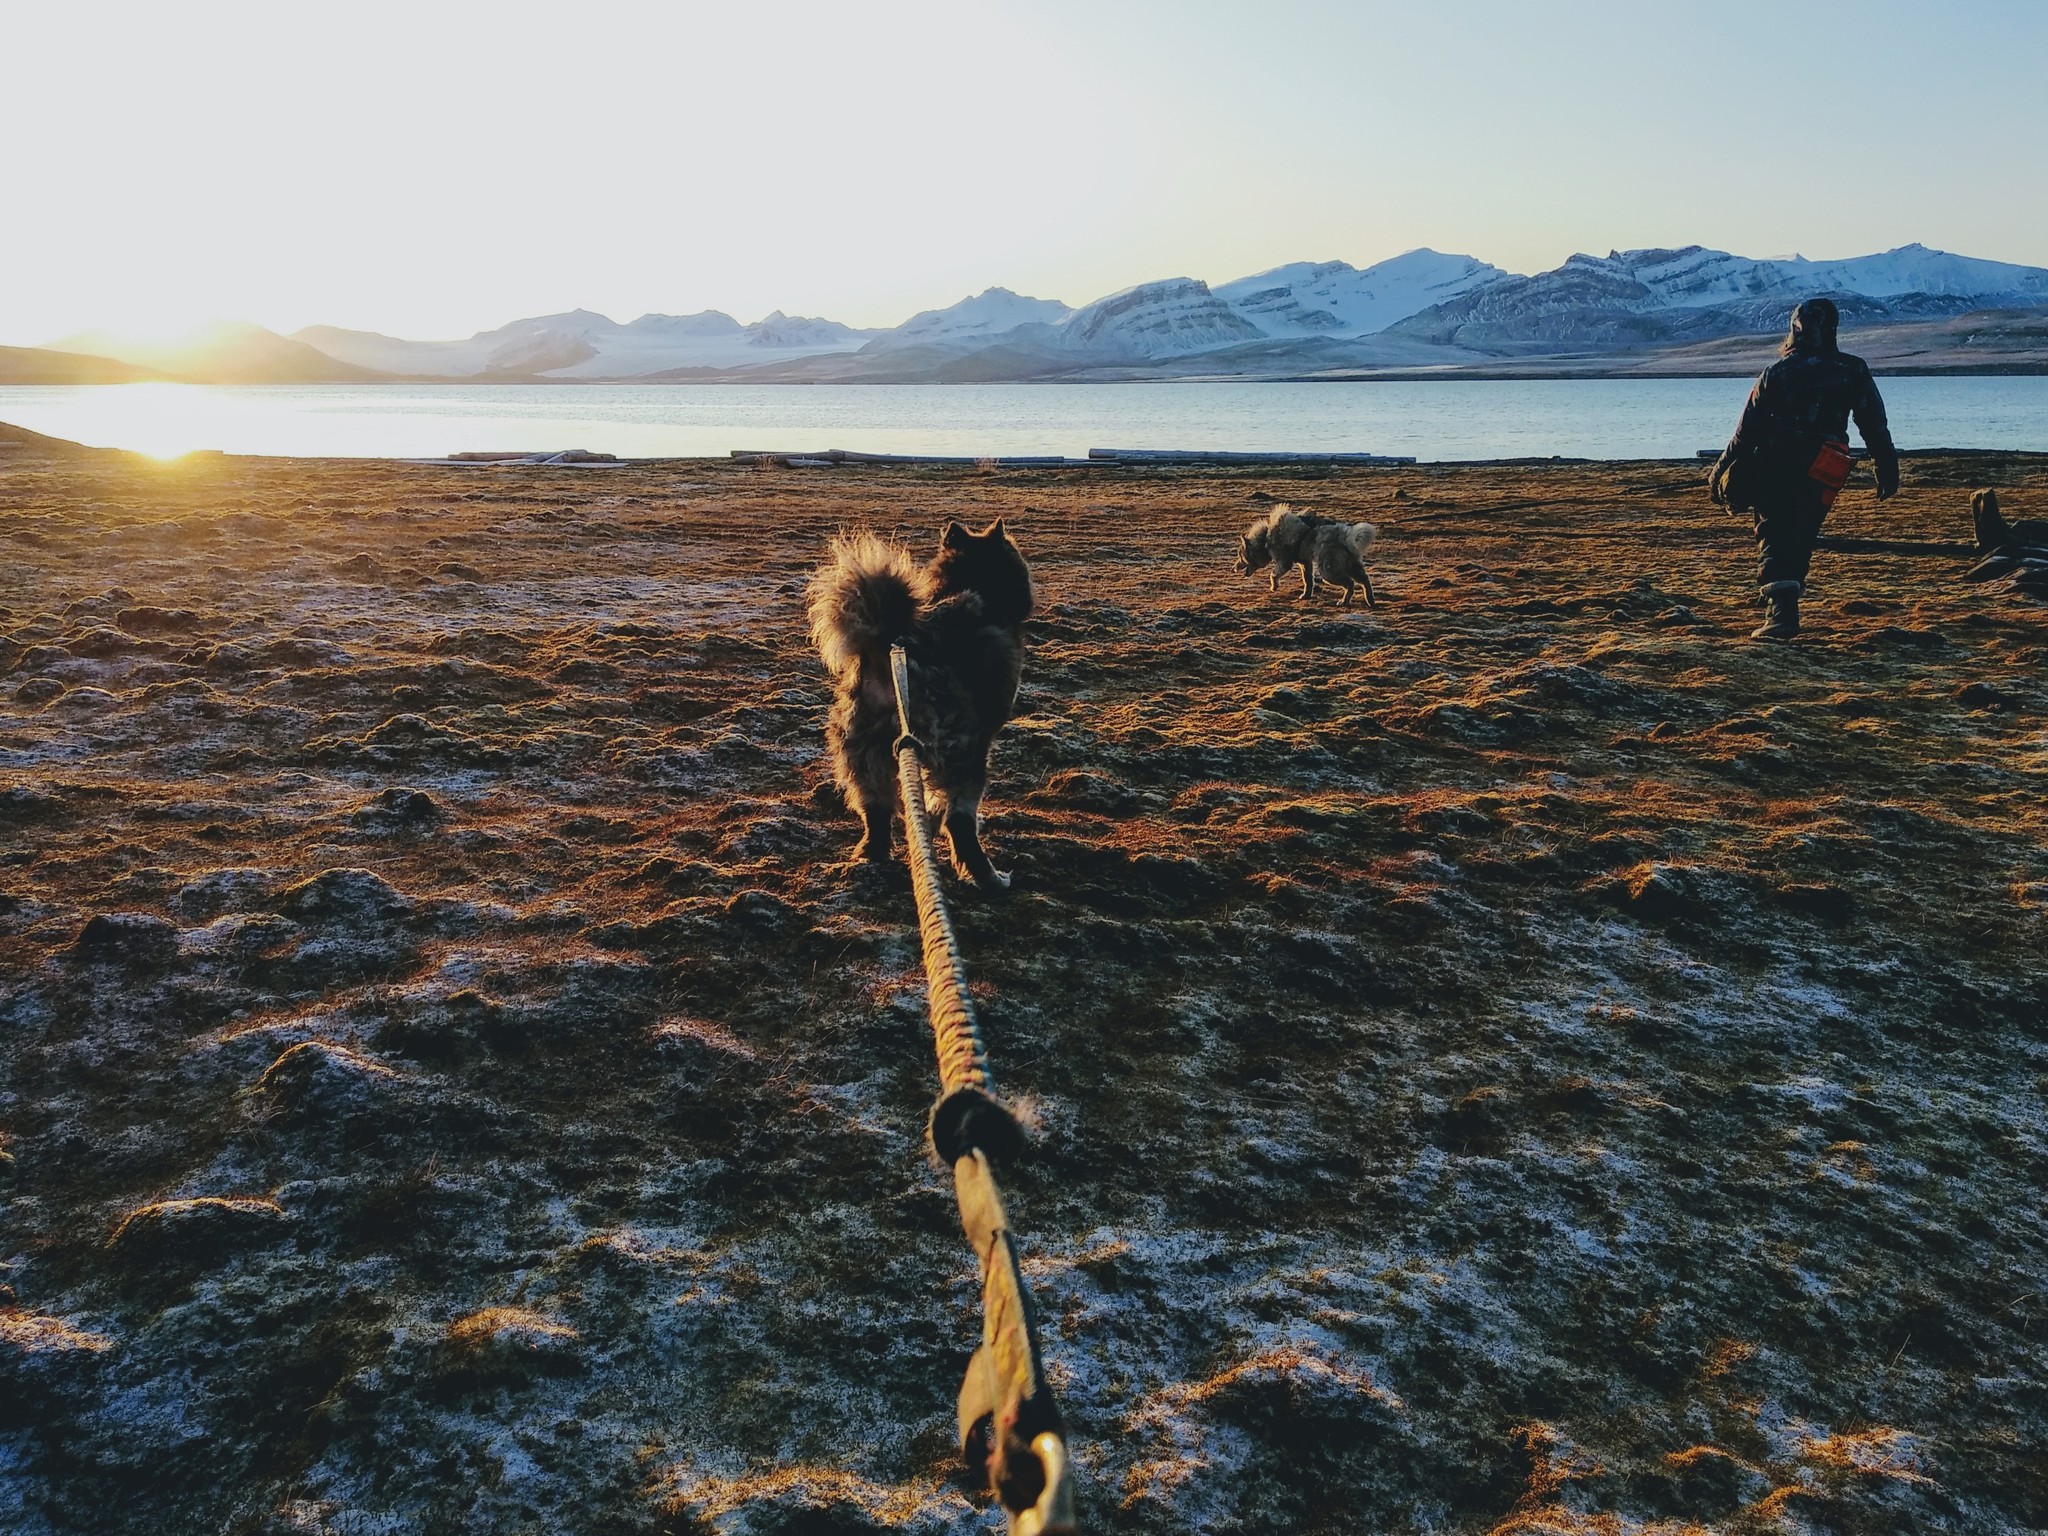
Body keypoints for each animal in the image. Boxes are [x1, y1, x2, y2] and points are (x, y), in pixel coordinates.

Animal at [798, 528, 1024, 897]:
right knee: (959, 822)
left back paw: (871, 856)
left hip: (864, 754)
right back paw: (988, 877)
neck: (971, 583)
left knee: (876, 813)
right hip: (962, 755)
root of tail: (889, 644)